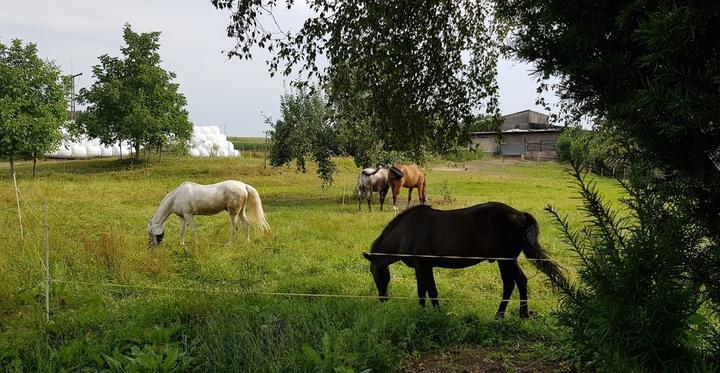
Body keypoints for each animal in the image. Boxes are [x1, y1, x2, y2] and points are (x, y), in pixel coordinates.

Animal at [362, 202, 564, 318]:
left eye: (375, 272)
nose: (382, 298)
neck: (406, 231)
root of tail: (520, 215)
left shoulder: (424, 266)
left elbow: (430, 291)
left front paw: (436, 313)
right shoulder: (422, 267)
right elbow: (423, 291)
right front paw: (422, 311)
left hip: (504, 260)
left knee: (509, 284)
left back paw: (499, 315)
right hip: (510, 260)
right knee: (521, 281)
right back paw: (523, 314)